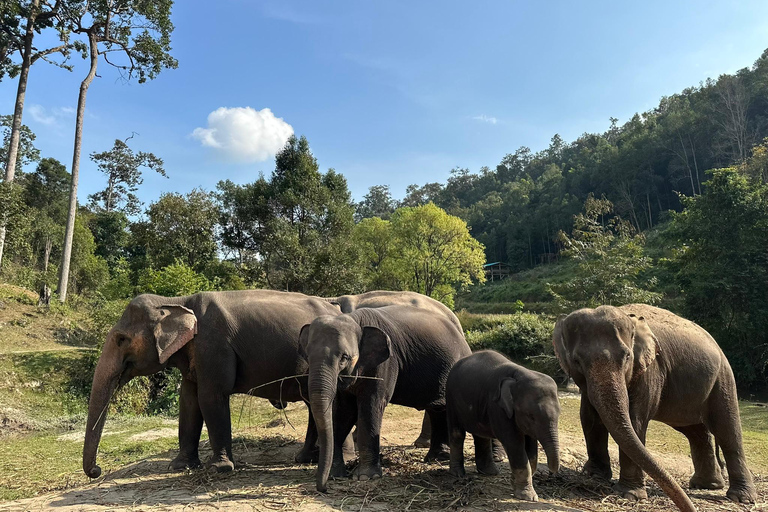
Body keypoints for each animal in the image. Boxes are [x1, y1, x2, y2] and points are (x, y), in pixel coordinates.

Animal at [82, 290, 341, 479]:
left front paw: (218, 468)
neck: (176, 301)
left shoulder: (213, 345)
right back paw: (305, 458)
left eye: (121, 339)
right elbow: (188, 402)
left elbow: (211, 397)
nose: (97, 471)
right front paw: (179, 466)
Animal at [299, 304, 472, 492]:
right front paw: (335, 475)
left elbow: (371, 405)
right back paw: (436, 458)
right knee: (437, 410)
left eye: (345, 357)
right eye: (307, 355)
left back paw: (438, 458)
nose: (322, 488)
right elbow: (344, 412)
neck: (355, 319)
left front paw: (365, 477)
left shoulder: (385, 363)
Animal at [446, 350, 561, 502]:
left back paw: (490, 472)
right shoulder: (497, 407)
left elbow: (531, 450)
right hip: (451, 399)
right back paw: (458, 474)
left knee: (481, 435)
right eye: (531, 416)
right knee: (457, 434)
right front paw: (529, 497)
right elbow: (514, 444)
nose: (552, 473)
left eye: (559, 414)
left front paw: (514, 483)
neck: (520, 374)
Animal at [553, 304, 756, 512]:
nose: (689, 507)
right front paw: (593, 476)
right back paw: (706, 485)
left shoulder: (650, 370)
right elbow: (589, 417)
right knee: (696, 432)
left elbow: (634, 420)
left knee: (726, 430)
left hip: (722, 378)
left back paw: (741, 498)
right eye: (576, 361)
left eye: (627, 356)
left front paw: (629, 495)